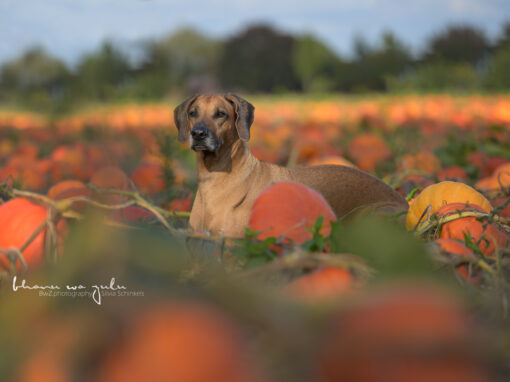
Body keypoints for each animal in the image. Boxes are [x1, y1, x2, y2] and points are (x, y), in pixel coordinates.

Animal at [173, 92, 408, 237]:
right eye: (193, 113)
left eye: (221, 114)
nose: (198, 134)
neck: (213, 178)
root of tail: (405, 203)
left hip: (369, 214)